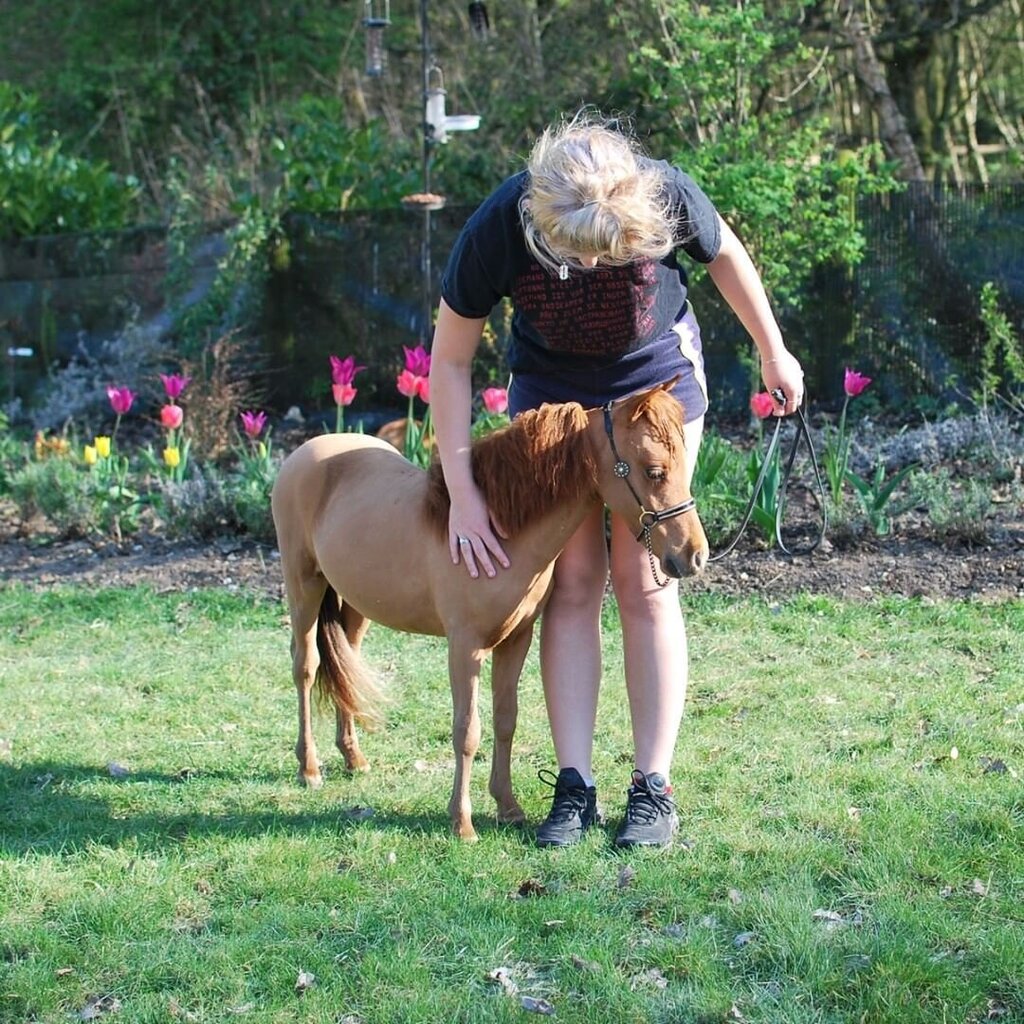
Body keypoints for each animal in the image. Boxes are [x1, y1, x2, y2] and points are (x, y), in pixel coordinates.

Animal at [270, 380, 709, 841]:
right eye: (654, 470)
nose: (694, 555)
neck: (498, 532)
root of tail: (307, 451)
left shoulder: (516, 640)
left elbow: (505, 719)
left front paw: (508, 807)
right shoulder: (465, 648)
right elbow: (467, 731)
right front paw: (462, 823)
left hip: (355, 607)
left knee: (346, 666)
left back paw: (353, 758)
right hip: (304, 589)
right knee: (306, 666)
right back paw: (310, 768)